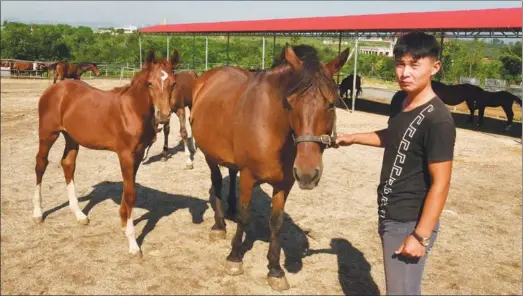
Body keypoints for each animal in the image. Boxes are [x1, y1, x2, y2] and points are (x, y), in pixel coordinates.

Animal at [33, 48, 180, 260]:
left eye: (173, 83)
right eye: (150, 83)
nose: (163, 116)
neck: (132, 110)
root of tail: (54, 89)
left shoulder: (137, 155)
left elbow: (128, 189)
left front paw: (123, 224)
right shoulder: (125, 155)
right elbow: (131, 194)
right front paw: (133, 243)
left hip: (72, 138)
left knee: (68, 164)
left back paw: (79, 215)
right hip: (47, 134)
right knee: (41, 165)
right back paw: (38, 213)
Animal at [190, 44, 350, 292]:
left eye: (331, 104)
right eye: (289, 103)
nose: (307, 173)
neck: (270, 127)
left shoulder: (284, 184)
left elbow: (277, 222)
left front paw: (275, 269)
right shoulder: (249, 176)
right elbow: (245, 215)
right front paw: (234, 257)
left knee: (231, 175)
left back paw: (230, 210)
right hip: (209, 155)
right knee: (216, 183)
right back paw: (219, 225)